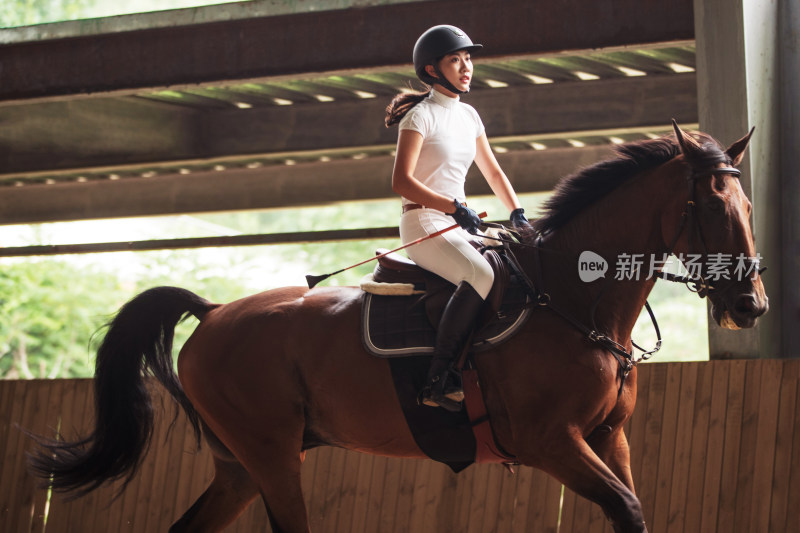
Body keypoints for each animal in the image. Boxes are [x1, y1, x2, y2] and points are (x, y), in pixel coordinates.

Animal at [28, 122, 768, 528]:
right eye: (710, 205)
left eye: (748, 205)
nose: (751, 306)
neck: (568, 300)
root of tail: (212, 314)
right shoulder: (551, 442)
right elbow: (626, 509)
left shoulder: (608, 438)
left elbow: (632, 511)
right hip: (272, 457)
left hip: (240, 465)